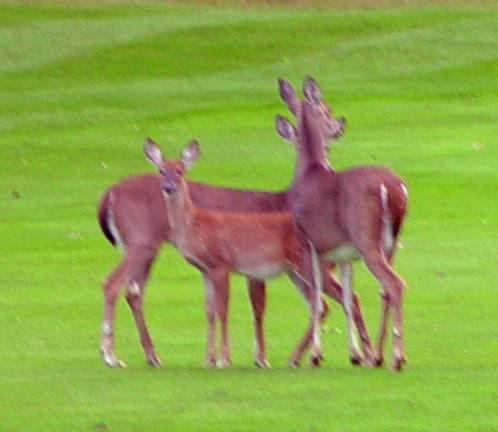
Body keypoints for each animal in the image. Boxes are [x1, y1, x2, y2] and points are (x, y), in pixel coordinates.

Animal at [144, 138, 328, 368]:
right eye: (161, 170)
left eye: (180, 171)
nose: (168, 187)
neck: (195, 225)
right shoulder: (205, 270)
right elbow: (209, 311)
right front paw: (208, 359)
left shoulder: (221, 264)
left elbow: (223, 310)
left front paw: (224, 359)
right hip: (294, 270)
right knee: (317, 304)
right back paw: (300, 357)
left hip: (305, 262)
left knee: (323, 303)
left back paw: (313, 356)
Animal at [280, 76, 408, 370]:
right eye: (327, 109)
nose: (339, 125)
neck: (309, 172)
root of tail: (393, 187)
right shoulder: (344, 254)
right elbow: (349, 298)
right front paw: (355, 355)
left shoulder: (309, 243)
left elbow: (318, 300)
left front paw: (316, 355)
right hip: (391, 242)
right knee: (384, 290)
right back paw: (379, 355)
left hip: (366, 237)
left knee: (395, 284)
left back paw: (396, 358)